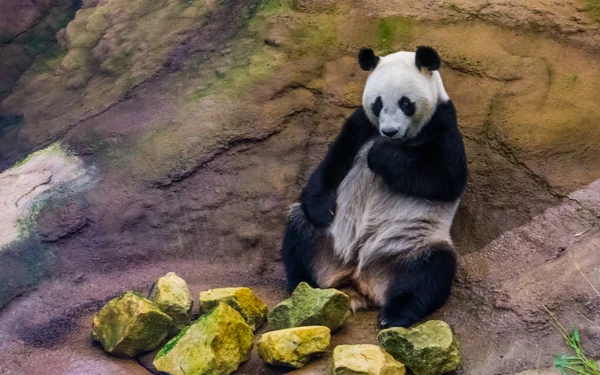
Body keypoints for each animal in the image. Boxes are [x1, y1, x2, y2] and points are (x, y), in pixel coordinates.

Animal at [282, 46, 468, 328]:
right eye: (378, 103)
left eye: (405, 103)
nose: (389, 131)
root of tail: (357, 278)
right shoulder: (362, 124)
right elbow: (335, 159)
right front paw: (322, 209)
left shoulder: (443, 123)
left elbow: (446, 178)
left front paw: (381, 154)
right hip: (327, 238)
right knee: (299, 233)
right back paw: (306, 291)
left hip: (412, 245)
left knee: (431, 273)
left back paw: (394, 314)